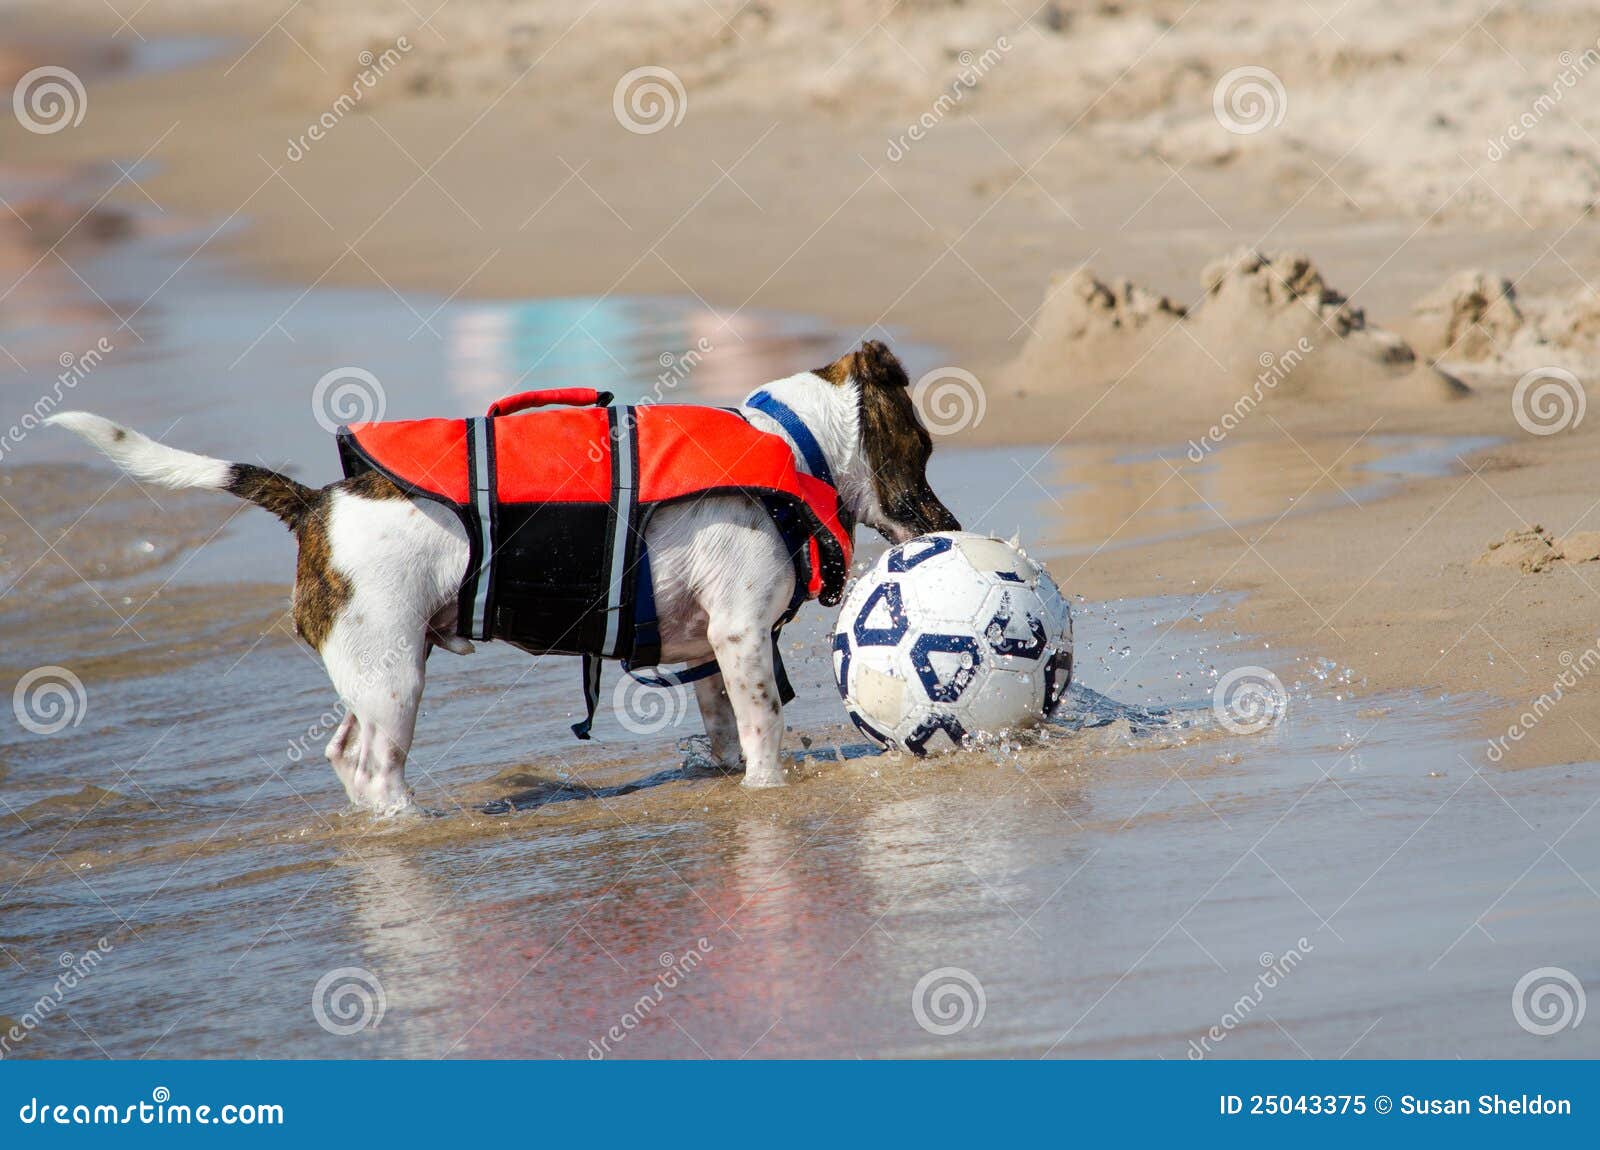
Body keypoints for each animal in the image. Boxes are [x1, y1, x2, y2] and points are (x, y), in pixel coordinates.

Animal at [46, 337, 947, 815]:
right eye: (925, 446)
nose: (947, 522)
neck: (788, 442)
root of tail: (315, 505)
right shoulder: (742, 635)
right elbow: (763, 729)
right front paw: (769, 790)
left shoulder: (709, 652)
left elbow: (725, 723)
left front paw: (729, 775)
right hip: (395, 677)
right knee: (374, 762)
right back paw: (414, 821)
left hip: (370, 672)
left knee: (343, 751)